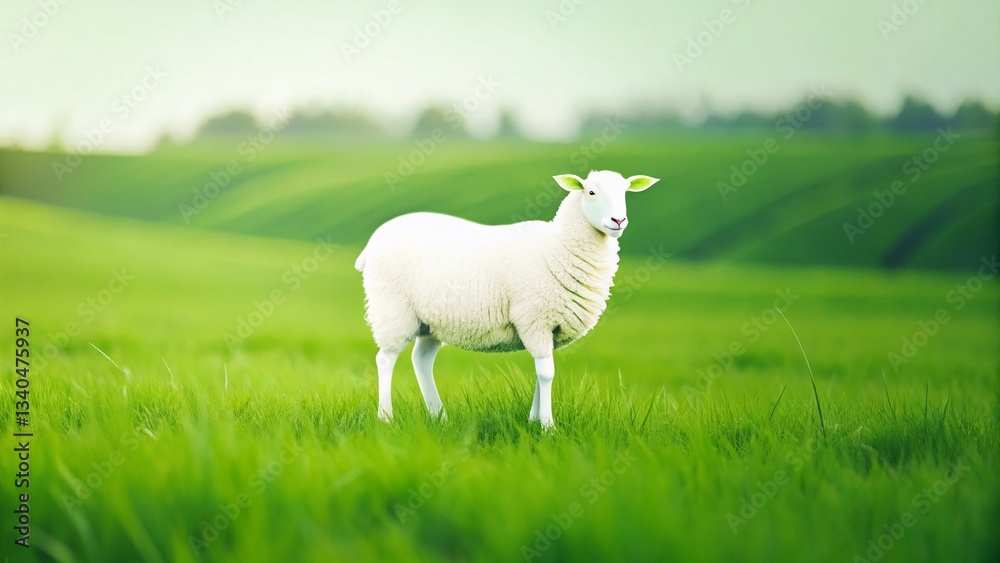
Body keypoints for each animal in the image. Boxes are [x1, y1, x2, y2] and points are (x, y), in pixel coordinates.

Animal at [355, 170, 660, 428]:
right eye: (591, 192)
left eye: (625, 192)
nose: (618, 221)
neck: (559, 244)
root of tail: (372, 242)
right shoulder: (535, 319)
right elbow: (547, 373)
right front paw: (548, 427)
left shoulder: (547, 328)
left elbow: (541, 372)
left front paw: (534, 421)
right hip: (393, 309)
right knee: (385, 359)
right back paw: (386, 418)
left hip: (429, 321)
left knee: (421, 361)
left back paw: (439, 417)